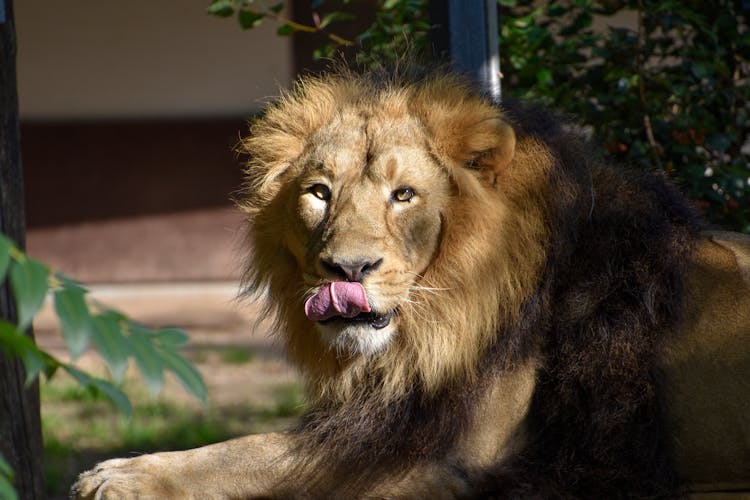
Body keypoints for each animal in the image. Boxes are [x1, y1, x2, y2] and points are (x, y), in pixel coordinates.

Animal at [72, 68, 750, 498]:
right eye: (319, 193)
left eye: (404, 196)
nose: (348, 270)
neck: (435, 322)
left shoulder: (460, 459)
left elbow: (257, 456)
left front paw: (124, 478)